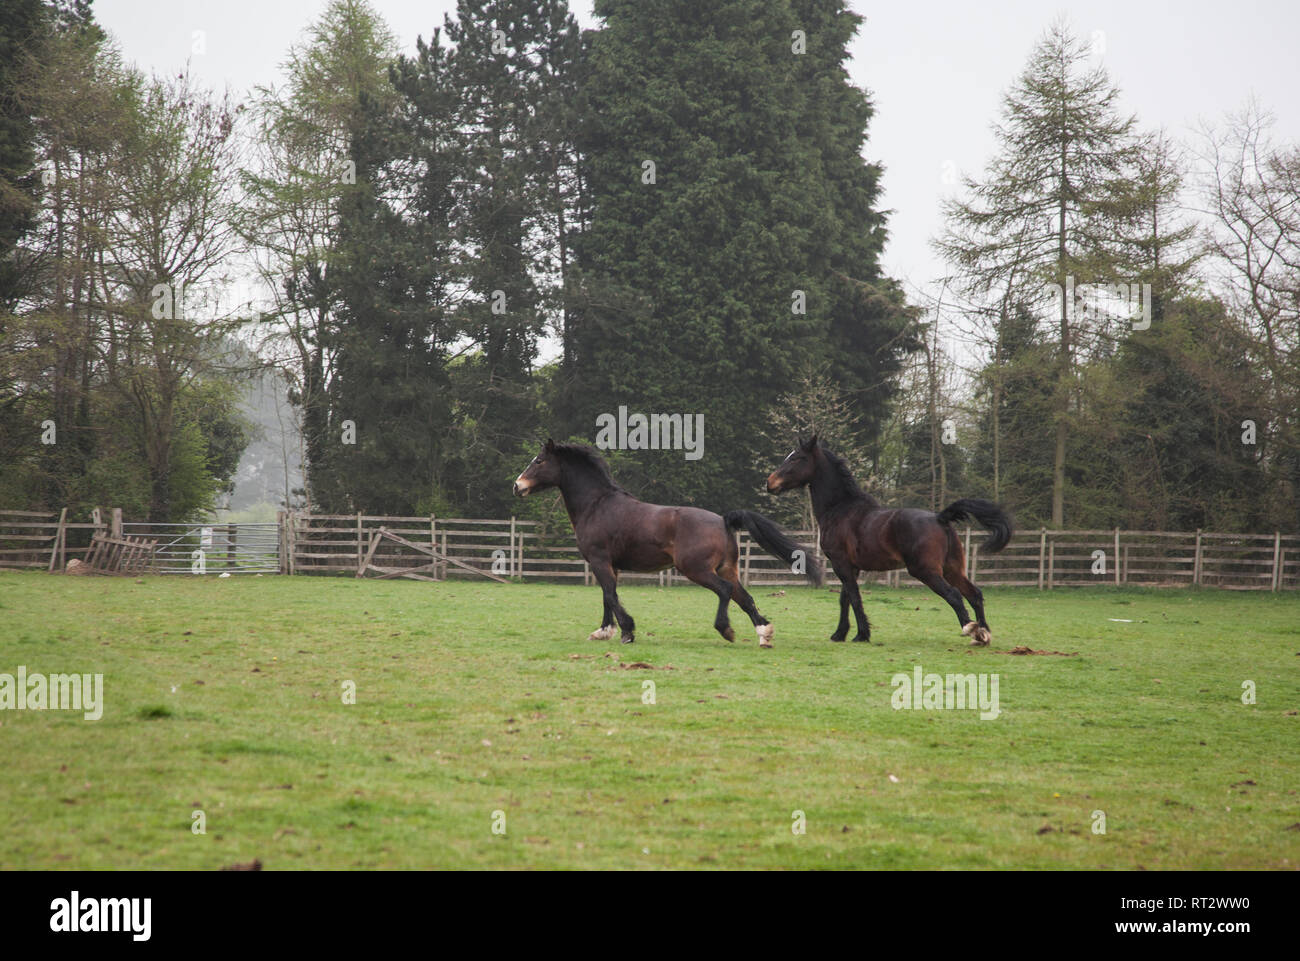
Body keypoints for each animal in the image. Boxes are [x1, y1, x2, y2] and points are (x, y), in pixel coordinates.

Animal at [513, 439, 821, 647]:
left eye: (538, 461)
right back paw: (764, 635)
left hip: (696, 570)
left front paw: (627, 632)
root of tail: (723, 520)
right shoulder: (610, 565)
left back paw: (726, 629)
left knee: (724, 591)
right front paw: (603, 631)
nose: (517, 486)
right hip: (727, 569)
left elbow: (610, 596)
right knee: (744, 598)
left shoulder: (600, 561)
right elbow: (607, 595)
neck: (597, 505)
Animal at [765, 435, 1012, 646]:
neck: (841, 509)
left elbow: (854, 598)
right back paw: (984, 634)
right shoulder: (850, 567)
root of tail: (940, 517)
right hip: (952, 570)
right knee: (974, 594)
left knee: (954, 595)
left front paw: (861, 635)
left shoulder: (840, 564)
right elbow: (845, 599)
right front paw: (840, 634)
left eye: (797, 458)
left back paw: (972, 629)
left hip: (925, 571)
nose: (770, 483)